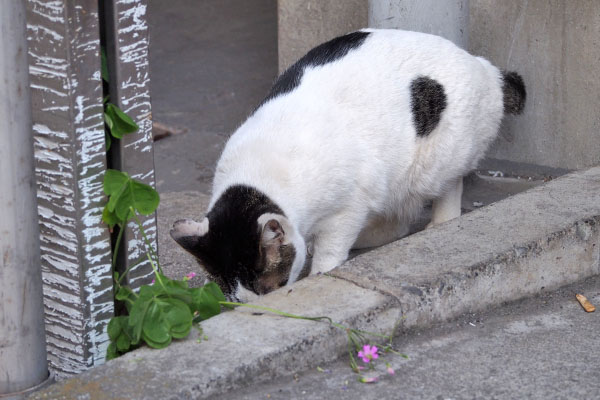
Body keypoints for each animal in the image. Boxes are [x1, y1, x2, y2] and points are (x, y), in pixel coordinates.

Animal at [169, 28, 524, 300]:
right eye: (237, 299)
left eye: (271, 288)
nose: (261, 306)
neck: (260, 175)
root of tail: (485, 68)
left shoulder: (348, 206)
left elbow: (331, 247)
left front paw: (321, 272)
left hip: (436, 161)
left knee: (443, 192)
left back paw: (436, 224)